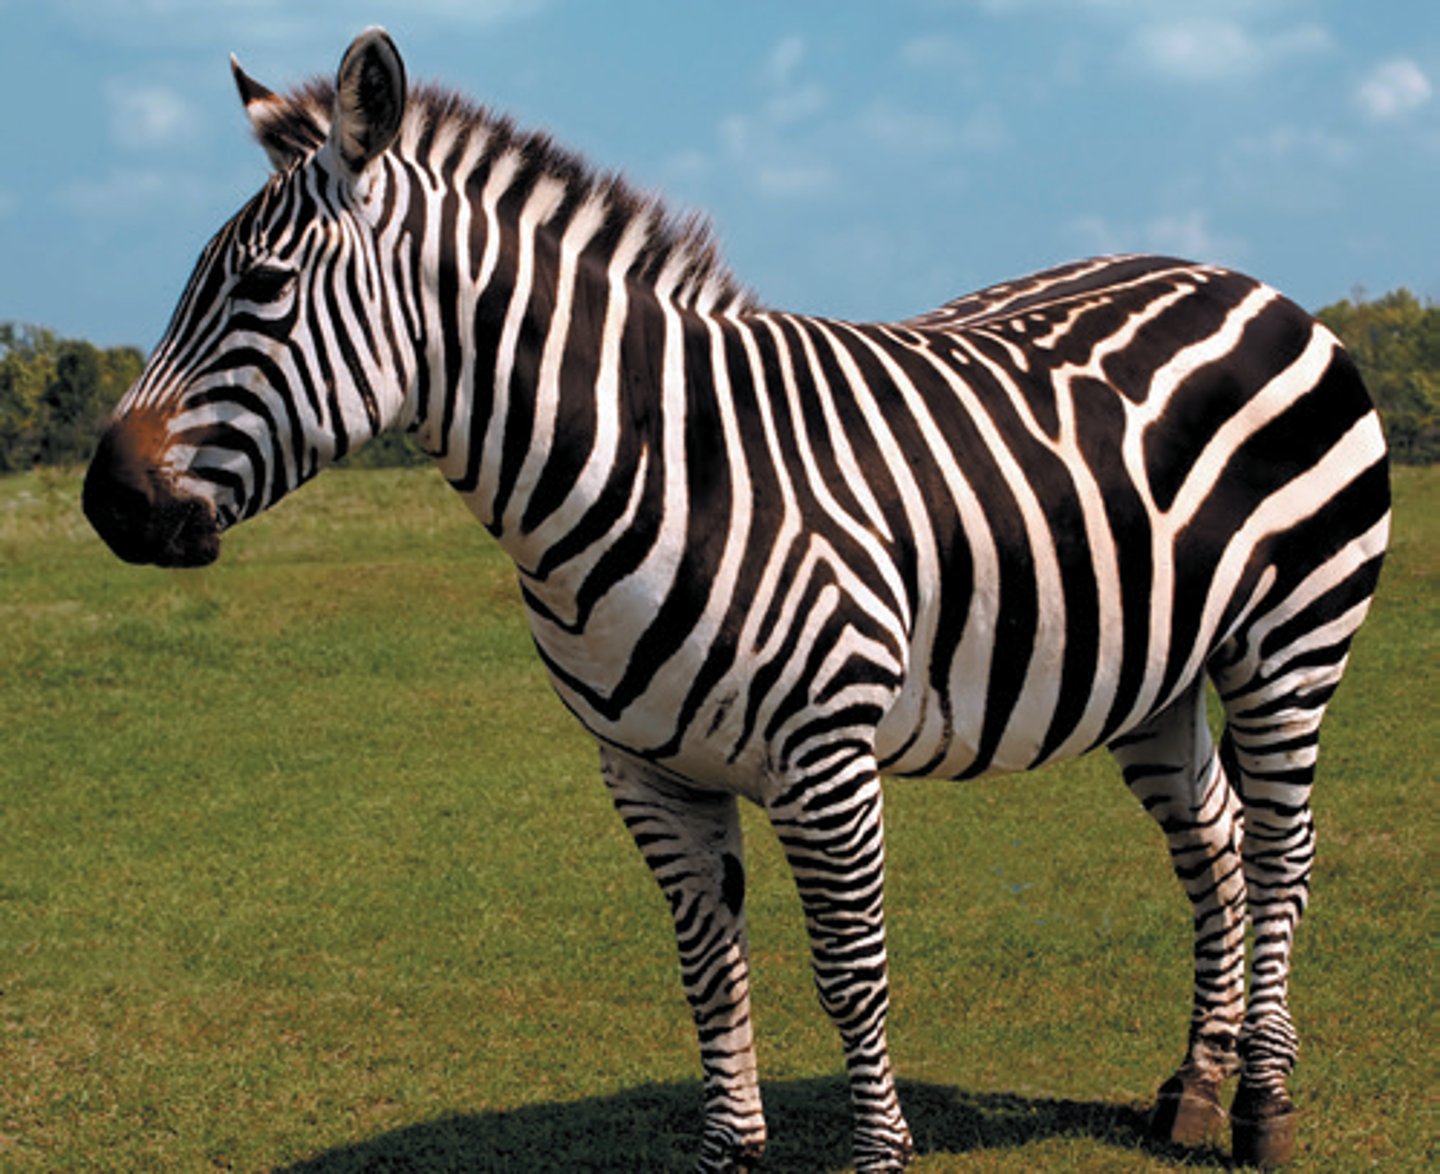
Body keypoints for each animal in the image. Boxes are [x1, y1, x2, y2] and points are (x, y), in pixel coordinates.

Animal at [82, 28, 1390, 1172]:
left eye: (260, 288)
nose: (105, 503)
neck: (659, 464)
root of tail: (1250, 282)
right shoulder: (646, 769)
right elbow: (708, 967)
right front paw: (729, 1147)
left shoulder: (826, 756)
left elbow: (849, 969)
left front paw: (878, 1154)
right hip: (1154, 669)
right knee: (1212, 843)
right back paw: (1197, 1084)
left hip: (1291, 643)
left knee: (1282, 850)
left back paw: (1264, 1104)